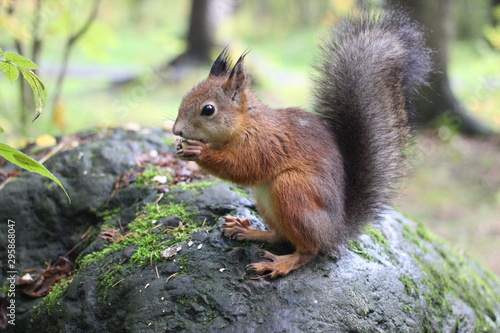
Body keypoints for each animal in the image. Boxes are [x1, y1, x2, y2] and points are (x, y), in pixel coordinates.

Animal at [172, 9, 430, 278]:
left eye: (208, 110)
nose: (176, 130)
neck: (246, 123)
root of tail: (335, 231)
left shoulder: (265, 144)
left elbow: (243, 166)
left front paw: (198, 151)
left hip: (293, 190)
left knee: (309, 250)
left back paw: (279, 263)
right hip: (267, 202)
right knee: (280, 236)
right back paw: (249, 230)